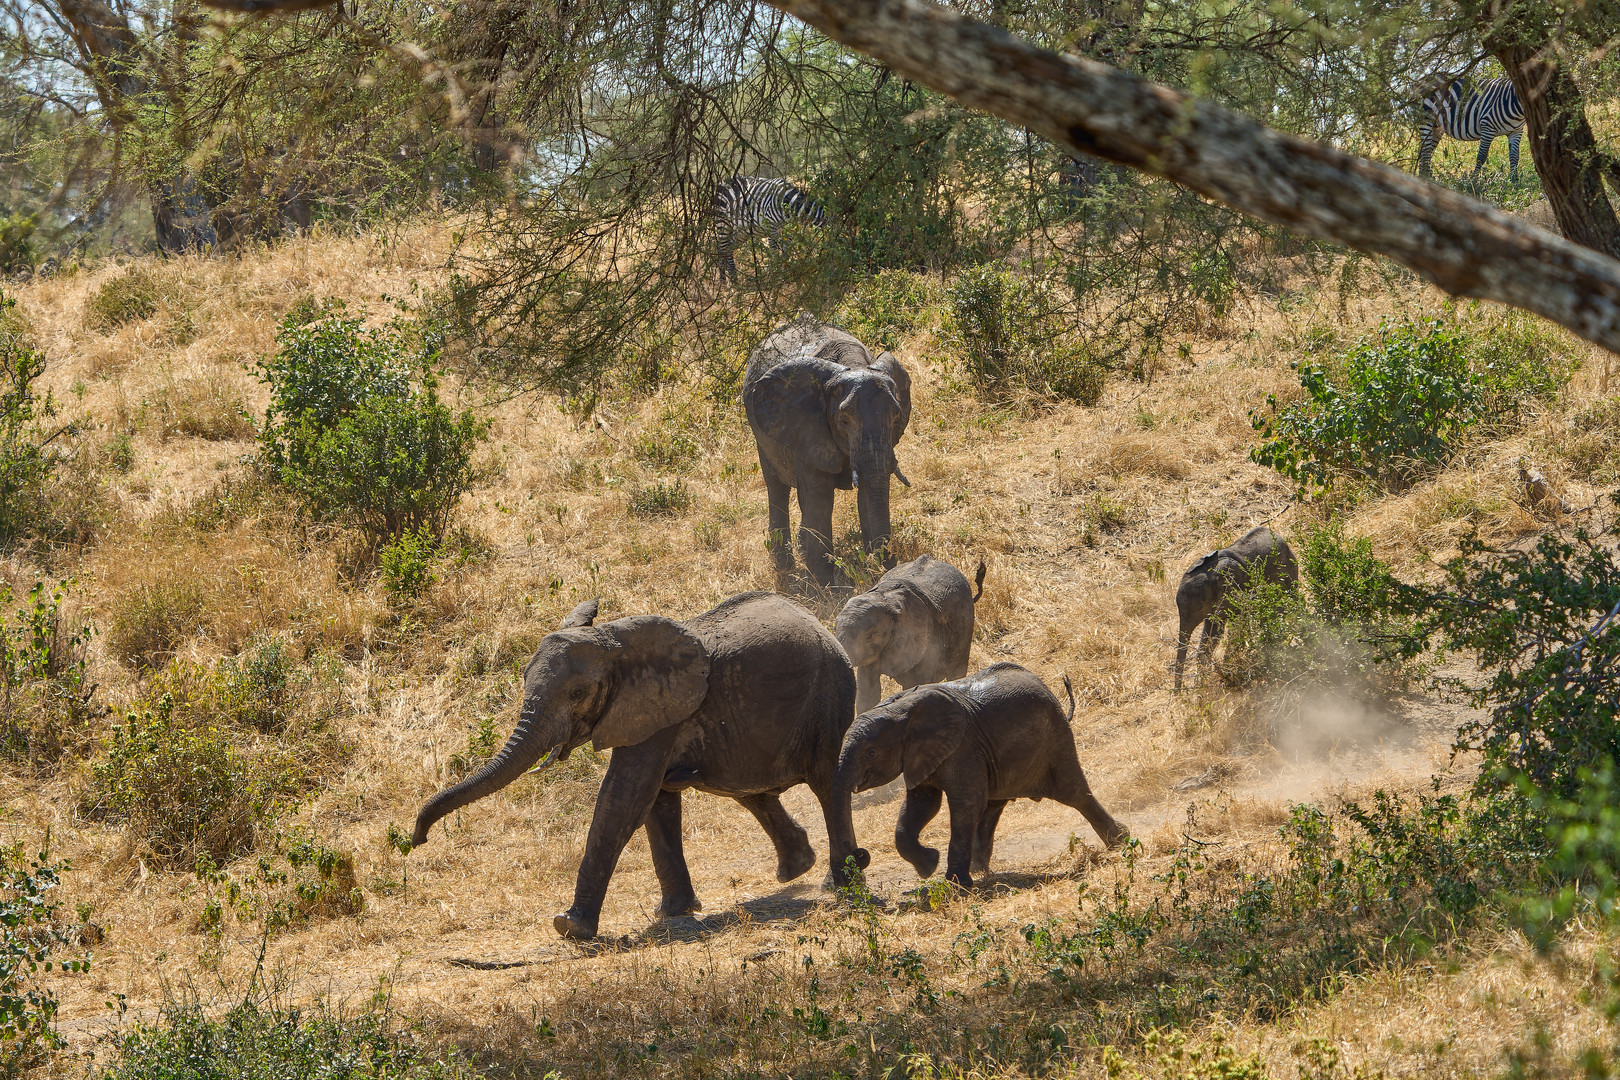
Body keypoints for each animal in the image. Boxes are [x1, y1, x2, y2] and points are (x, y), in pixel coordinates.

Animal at [408, 592, 861, 939]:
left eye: (577, 693)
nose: (416, 840)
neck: (614, 641)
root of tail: (818, 622)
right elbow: (653, 801)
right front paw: (673, 912)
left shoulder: (658, 711)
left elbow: (625, 796)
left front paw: (569, 926)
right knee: (748, 790)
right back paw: (796, 869)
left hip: (828, 694)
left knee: (826, 781)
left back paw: (843, 882)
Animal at [822, 663, 1127, 893]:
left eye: (871, 753)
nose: (861, 855)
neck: (899, 710)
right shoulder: (925, 754)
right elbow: (922, 806)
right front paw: (929, 865)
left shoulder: (963, 747)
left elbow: (965, 804)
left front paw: (956, 885)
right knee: (992, 806)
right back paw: (979, 869)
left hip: (1055, 740)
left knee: (1074, 791)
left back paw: (1121, 842)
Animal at [835, 557, 984, 718]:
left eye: (871, 637)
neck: (885, 598)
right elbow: (868, 691)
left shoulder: (925, 639)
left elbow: (914, 686)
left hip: (966, 624)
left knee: (956, 672)